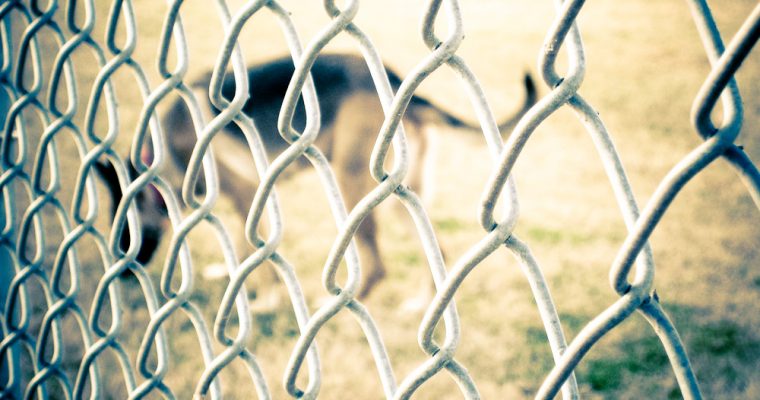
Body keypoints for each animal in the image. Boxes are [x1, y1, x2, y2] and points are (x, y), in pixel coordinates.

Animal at [96, 52, 536, 304]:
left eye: (128, 232)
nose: (123, 274)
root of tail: (396, 81)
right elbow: (241, 250)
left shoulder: (247, 197)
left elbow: (250, 249)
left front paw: (262, 301)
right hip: (402, 194)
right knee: (436, 249)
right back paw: (422, 304)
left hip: (352, 182)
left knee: (376, 267)